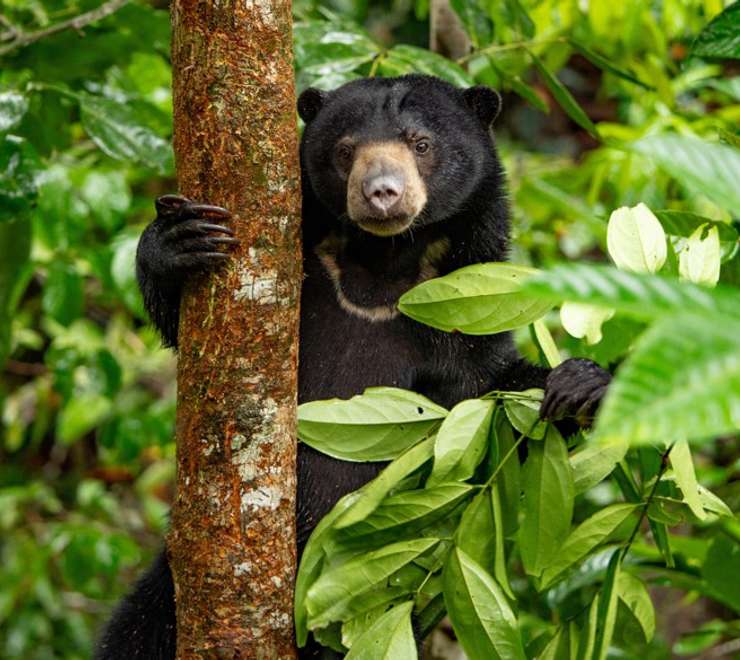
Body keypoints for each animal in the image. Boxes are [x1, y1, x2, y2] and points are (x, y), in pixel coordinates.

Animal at [95, 74, 611, 659]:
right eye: (346, 151)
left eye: (420, 143)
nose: (381, 193)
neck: (381, 264)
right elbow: (182, 327)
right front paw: (180, 238)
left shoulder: (459, 314)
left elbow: (492, 397)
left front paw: (580, 385)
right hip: (165, 595)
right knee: (135, 634)